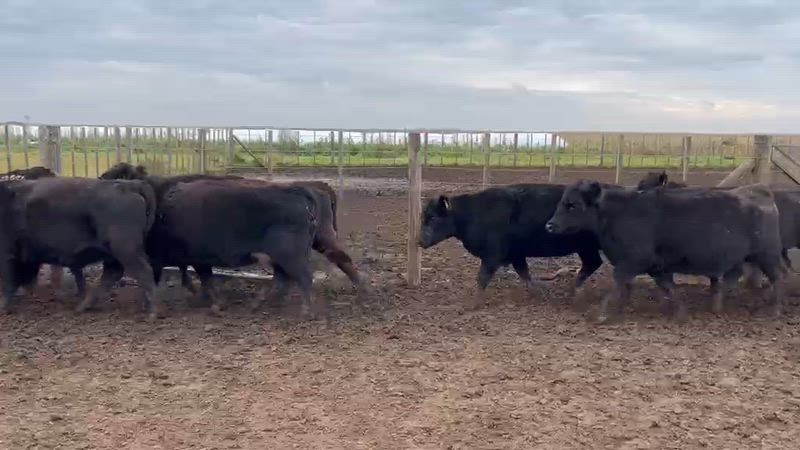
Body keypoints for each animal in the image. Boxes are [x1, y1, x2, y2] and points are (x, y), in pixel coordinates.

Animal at [0, 177, 163, 319]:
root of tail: (129, 185)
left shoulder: (7, 255)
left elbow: (9, 280)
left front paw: (4, 306)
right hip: (116, 254)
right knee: (111, 275)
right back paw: (83, 306)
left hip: (126, 250)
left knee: (143, 272)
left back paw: (153, 312)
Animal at [419, 184, 604, 308]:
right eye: (423, 217)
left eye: (433, 218)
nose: (419, 241)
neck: (474, 214)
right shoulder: (516, 254)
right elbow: (524, 273)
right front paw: (536, 294)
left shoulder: (493, 254)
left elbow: (482, 277)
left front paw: (474, 303)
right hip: (586, 248)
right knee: (593, 263)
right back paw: (572, 290)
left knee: (594, 263)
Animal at [546, 180, 785, 324]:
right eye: (562, 202)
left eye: (573, 205)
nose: (550, 225)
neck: (619, 213)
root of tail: (758, 190)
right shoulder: (656, 266)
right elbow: (669, 287)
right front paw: (679, 312)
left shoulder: (632, 261)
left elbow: (618, 284)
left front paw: (601, 313)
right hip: (743, 257)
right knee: (733, 277)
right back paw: (716, 305)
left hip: (767, 255)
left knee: (779, 277)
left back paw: (774, 308)